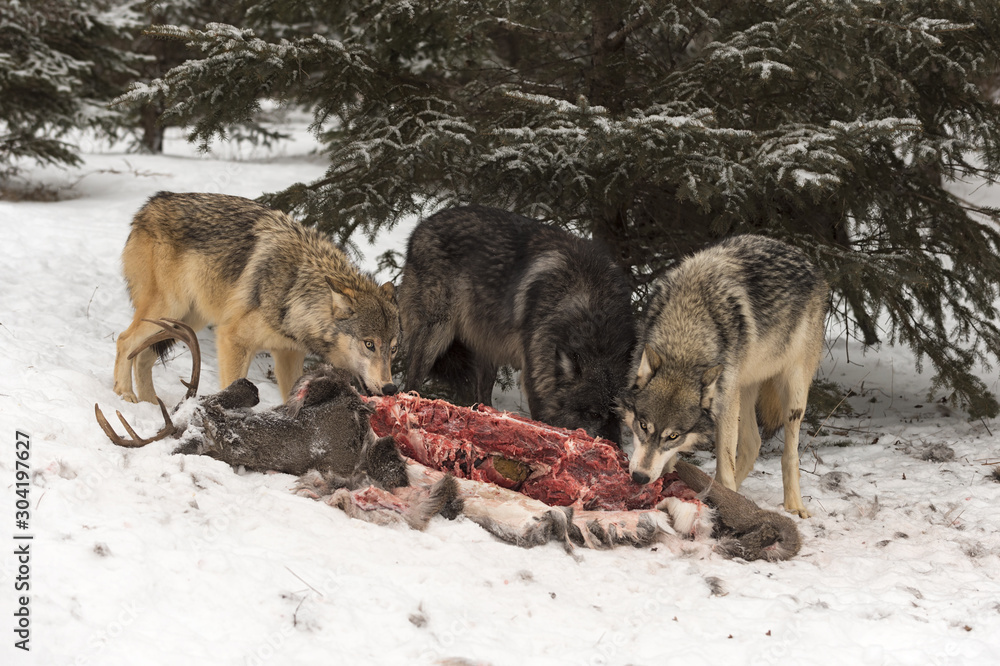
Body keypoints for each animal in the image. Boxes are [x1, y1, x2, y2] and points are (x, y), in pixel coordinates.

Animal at [113, 192, 400, 403]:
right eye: (369, 344)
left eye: (393, 348)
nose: (390, 389)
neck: (296, 288)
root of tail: (150, 204)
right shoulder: (232, 339)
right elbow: (233, 386)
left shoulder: (288, 352)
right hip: (169, 309)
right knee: (125, 341)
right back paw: (125, 394)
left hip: (186, 321)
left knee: (144, 356)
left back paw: (151, 404)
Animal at [398, 205, 637, 444]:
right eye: (594, 414)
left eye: (619, 417)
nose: (616, 446)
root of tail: (422, 226)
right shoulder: (535, 381)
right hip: (436, 335)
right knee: (411, 383)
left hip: (487, 349)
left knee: (482, 397)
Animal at [619, 235, 828, 518]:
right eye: (643, 425)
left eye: (673, 436)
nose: (639, 477)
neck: (686, 333)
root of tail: (801, 255)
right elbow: (670, 462)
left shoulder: (725, 406)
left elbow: (725, 464)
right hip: (743, 389)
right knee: (753, 443)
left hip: (789, 393)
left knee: (789, 454)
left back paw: (793, 505)